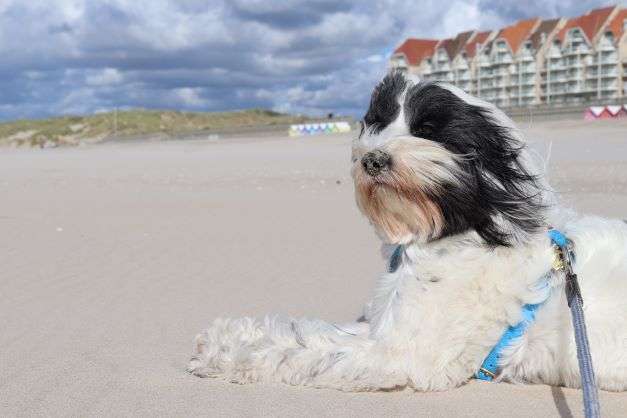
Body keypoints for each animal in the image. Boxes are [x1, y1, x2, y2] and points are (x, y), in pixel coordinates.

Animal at [188, 71, 627, 392]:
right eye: (377, 122)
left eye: (429, 130)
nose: (373, 159)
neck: (454, 235)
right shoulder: (382, 324)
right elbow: (312, 331)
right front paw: (230, 336)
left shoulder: (401, 354)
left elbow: (304, 349)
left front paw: (227, 352)